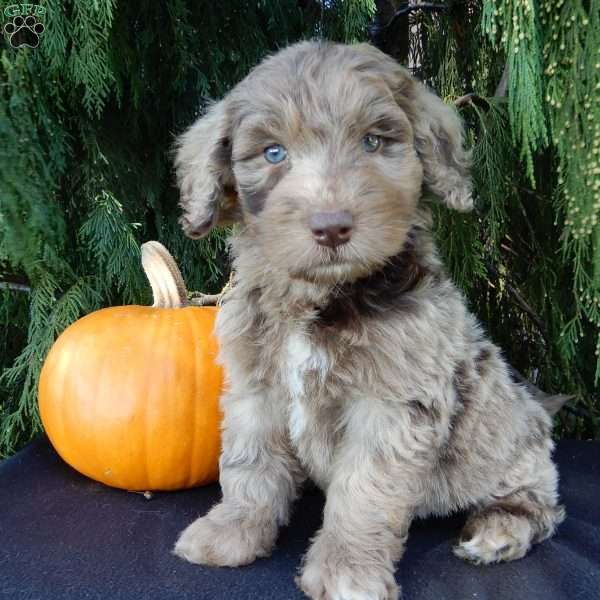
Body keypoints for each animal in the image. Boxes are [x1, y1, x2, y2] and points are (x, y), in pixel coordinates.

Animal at [171, 39, 564, 596]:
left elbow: (365, 491)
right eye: (273, 153)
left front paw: (346, 571)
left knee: (537, 498)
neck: (318, 298)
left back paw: (500, 530)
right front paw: (232, 531)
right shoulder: (256, 386)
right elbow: (249, 461)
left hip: (508, 437)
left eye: (373, 142)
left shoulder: (391, 405)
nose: (332, 227)